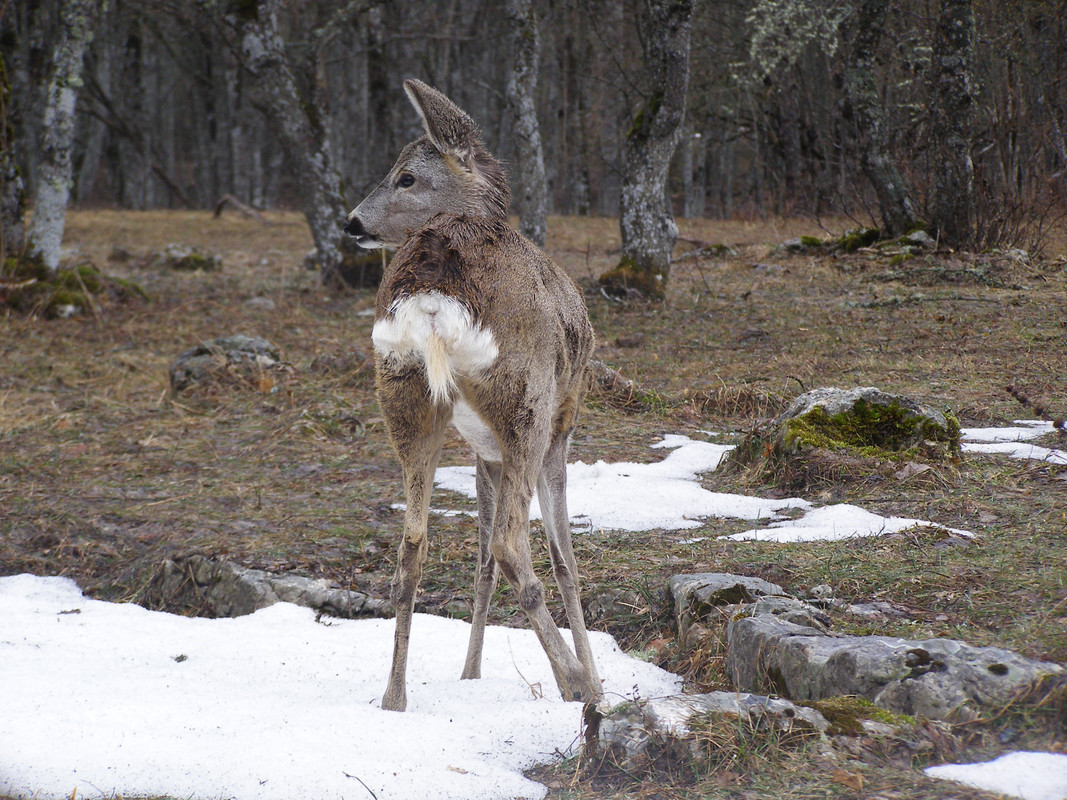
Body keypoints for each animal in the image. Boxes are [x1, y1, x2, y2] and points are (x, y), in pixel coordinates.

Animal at [347, 78, 606, 712]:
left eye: (406, 177)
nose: (351, 222)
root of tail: (432, 293)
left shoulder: (481, 450)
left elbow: (481, 558)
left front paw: (471, 673)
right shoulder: (560, 427)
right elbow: (564, 559)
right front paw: (590, 676)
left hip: (408, 399)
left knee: (413, 546)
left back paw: (395, 696)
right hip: (526, 402)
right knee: (515, 546)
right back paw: (578, 683)